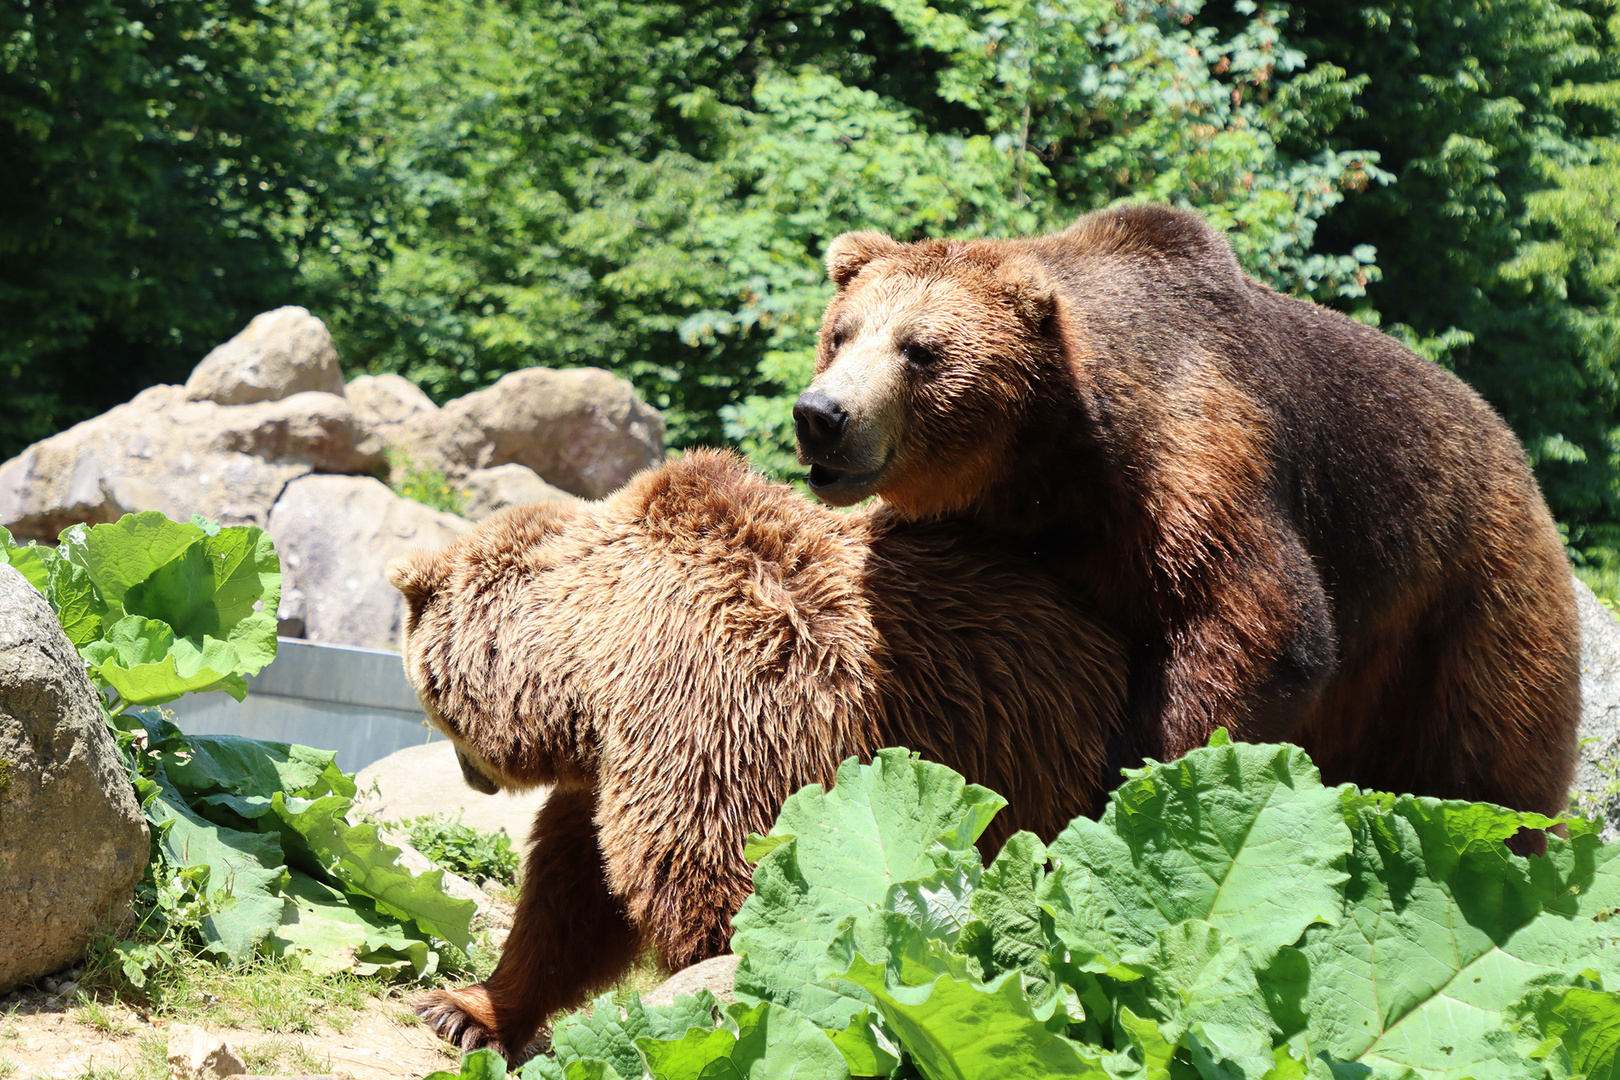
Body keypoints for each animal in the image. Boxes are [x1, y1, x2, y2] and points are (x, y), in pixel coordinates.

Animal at [390, 450, 1127, 1062]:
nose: (468, 778)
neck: (592, 664)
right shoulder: (615, 761)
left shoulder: (723, 707)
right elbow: (572, 894)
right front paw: (462, 1011)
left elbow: (725, 886)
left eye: (430, 704)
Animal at [797, 202, 1581, 819]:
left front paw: (1139, 779)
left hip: (1469, 609)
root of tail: (1517, 454)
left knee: (1485, 764)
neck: (1055, 466)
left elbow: (1259, 622)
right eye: (841, 333)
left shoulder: (1192, 460)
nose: (823, 415)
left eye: (920, 350)